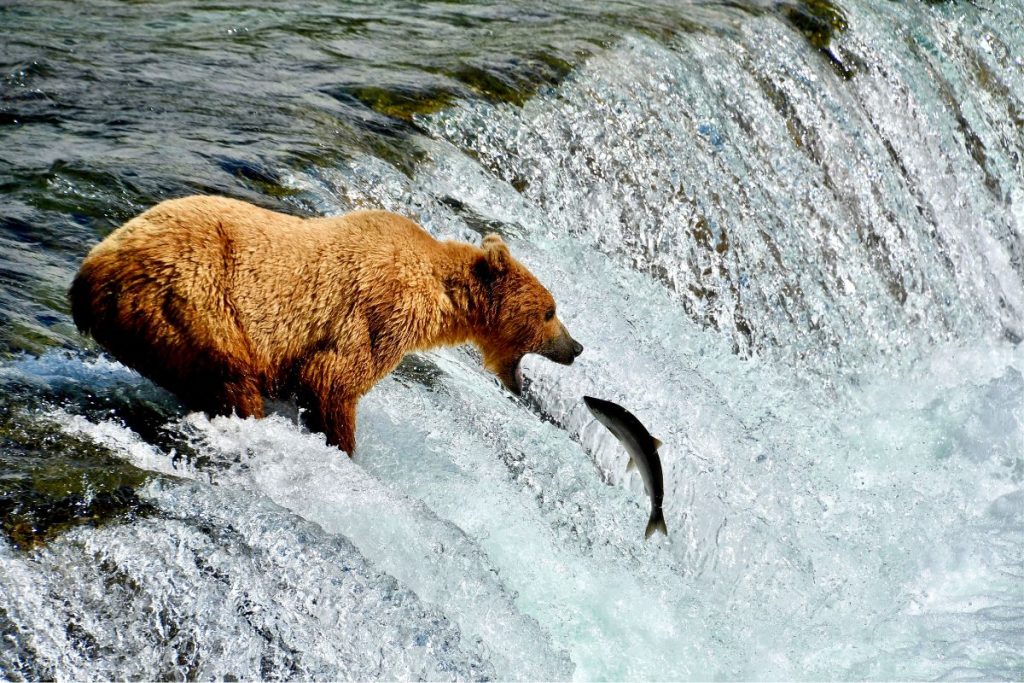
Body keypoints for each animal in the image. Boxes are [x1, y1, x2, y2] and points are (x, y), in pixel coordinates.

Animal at [70, 195, 583, 454]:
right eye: (550, 311)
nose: (576, 347)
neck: (439, 296)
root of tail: (89, 273)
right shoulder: (376, 310)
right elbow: (334, 381)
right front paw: (343, 446)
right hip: (191, 298)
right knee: (229, 372)